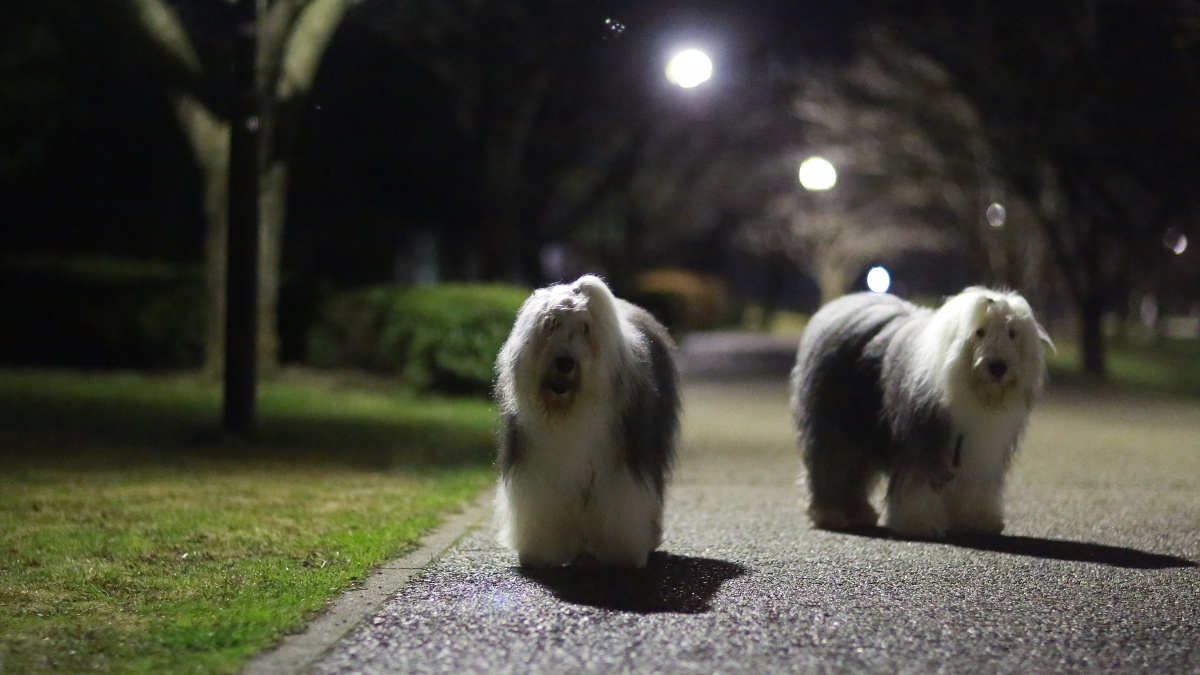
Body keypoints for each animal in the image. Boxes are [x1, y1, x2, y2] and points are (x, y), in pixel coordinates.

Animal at [493, 275, 680, 568]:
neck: (569, 408)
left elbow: (623, 501)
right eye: (551, 323)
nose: (564, 362)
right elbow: (542, 503)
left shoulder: (622, 464)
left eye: (585, 328)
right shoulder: (538, 468)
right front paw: (541, 552)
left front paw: (622, 554)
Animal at [789, 287, 1052, 538]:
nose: (997, 367)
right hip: (834, 423)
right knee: (832, 464)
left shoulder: (979, 453)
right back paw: (830, 513)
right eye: (980, 332)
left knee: (853, 472)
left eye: (1012, 333)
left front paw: (977, 521)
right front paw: (918, 523)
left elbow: (975, 486)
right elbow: (917, 485)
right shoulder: (921, 440)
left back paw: (859, 512)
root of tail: (839, 305)